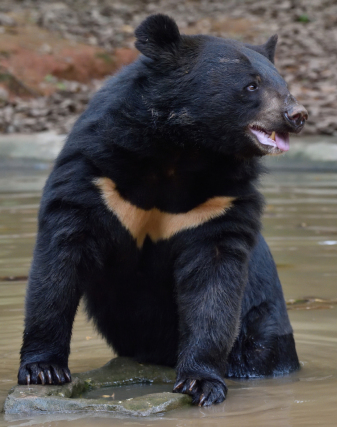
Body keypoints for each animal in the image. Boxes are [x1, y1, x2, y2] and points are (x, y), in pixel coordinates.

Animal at [18, 15, 308, 406]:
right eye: (251, 85)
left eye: (284, 85)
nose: (297, 115)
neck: (181, 150)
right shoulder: (96, 174)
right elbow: (60, 259)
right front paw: (43, 370)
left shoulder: (217, 202)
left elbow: (214, 283)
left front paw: (200, 383)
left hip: (263, 331)